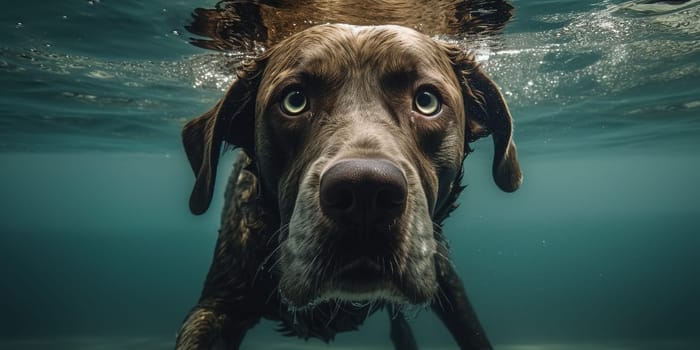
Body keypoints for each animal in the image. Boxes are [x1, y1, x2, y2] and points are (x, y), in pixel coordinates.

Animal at [178, 23, 524, 348]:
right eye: (294, 101)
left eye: (427, 101)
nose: (365, 192)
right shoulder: (216, 303)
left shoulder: (444, 276)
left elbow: (473, 333)